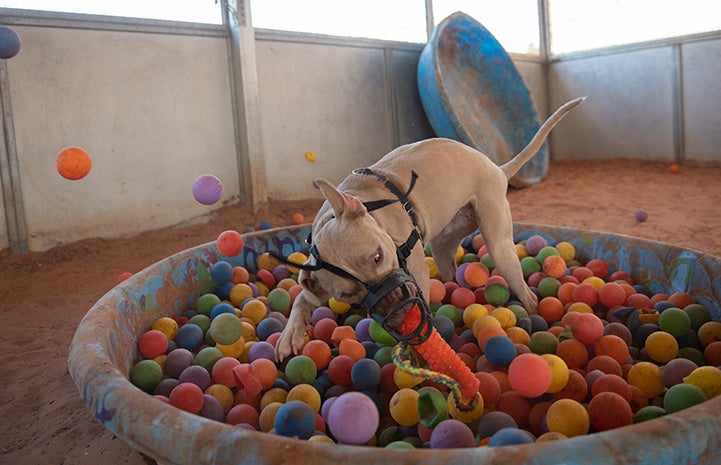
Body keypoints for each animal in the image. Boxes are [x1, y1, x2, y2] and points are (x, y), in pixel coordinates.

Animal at [276, 97, 584, 358]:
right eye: (347, 296)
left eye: (377, 257)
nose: (398, 314)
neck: (370, 207)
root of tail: (497, 168)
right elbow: (302, 296)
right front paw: (290, 334)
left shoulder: (417, 274)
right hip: (444, 246)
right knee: (450, 269)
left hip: (500, 246)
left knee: (527, 294)